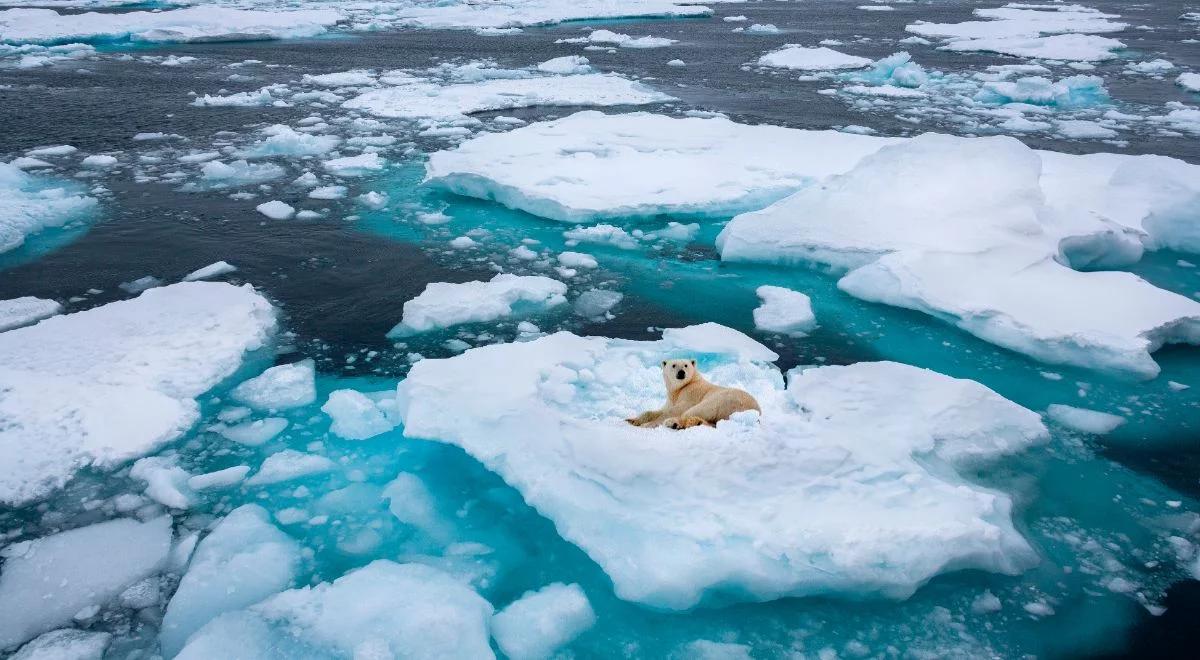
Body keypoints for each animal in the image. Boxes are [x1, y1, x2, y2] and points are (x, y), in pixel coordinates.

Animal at [628, 360, 758, 432]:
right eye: (673, 365)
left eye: (686, 365)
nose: (681, 373)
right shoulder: (671, 399)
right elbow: (659, 410)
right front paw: (632, 420)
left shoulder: (691, 393)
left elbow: (675, 410)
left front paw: (646, 425)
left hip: (722, 400)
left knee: (696, 410)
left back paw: (673, 423)